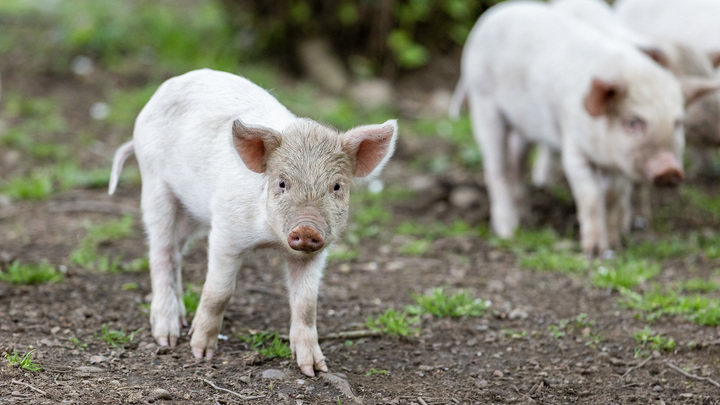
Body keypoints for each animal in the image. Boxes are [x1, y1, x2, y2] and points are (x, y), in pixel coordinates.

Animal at [108, 68, 400, 376]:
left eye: (336, 186)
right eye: (282, 183)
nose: (306, 228)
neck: (269, 239)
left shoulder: (315, 253)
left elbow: (307, 303)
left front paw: (315, 369)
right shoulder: (225, 231)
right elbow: (219, 291)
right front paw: (200, 353)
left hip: (190, 214)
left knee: (176, 252)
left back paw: (182, 319)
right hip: (155, 186)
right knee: (160, 253)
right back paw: (167, 337)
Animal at [448, 0, 688, 256]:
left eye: (677, 122)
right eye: (633, 122)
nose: (669, 169)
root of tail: (491, 16)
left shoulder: (617, 165)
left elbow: (612, 199)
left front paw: (615, 246)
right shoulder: (573, 146)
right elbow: (590, 198)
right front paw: (594, 252)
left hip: (523, 122)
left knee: (516, 161)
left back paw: (526, 220)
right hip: (484, 103)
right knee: (496, 169)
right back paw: (508, 232)